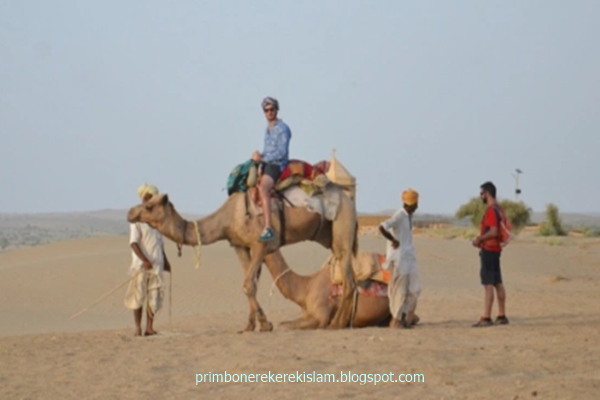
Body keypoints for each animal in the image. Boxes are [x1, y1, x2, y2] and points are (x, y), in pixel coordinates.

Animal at [125, 184, 356, 332]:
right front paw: (250, 326)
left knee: (348, 278)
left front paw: (265, 324)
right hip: (330, 236)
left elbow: (248, 284)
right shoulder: (239, 246)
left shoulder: (261, 243)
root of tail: (348, 198)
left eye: (149, 206)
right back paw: (345, 321)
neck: (228, 219)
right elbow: (249, 284)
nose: (130, 213)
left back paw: (336, 324)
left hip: (342, 226)